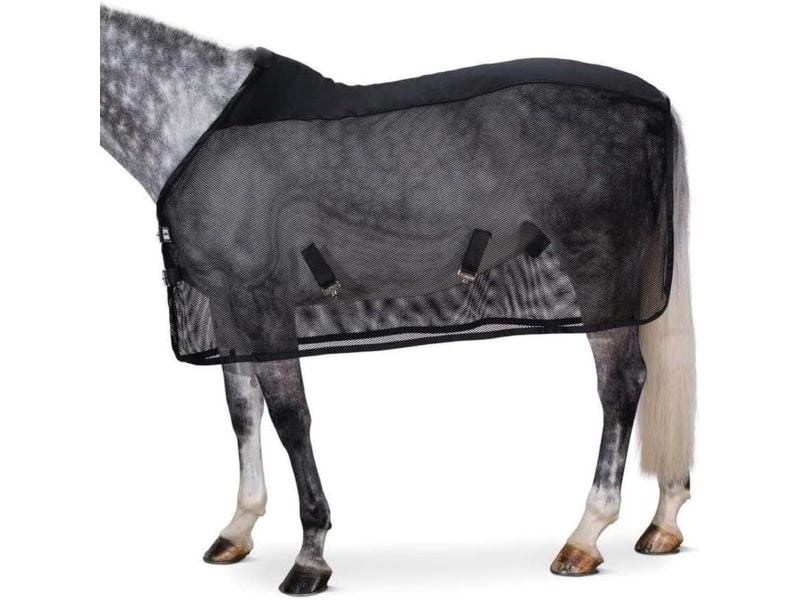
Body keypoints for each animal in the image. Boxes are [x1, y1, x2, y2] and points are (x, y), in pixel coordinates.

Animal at [100, 5, 695, 595]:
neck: (194, 119)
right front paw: (238, 529)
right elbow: (243, 411)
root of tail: (656, 103)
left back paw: (586, 536)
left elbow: (291, 417)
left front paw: (310, 556)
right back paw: (662, 523)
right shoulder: (227, 306)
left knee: (621, 383)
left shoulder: (262, 300)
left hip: (599, 267)